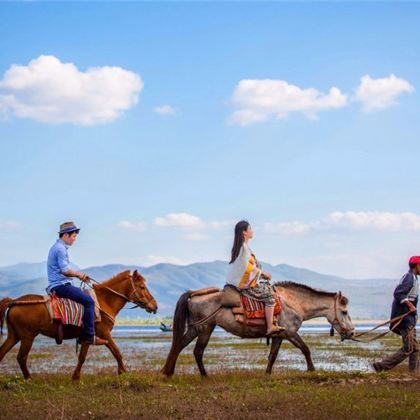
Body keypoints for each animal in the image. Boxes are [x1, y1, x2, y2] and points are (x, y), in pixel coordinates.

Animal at [0, 270, 158, 380]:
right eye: (142, 287)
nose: (155, 306)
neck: (104, 301)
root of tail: (14, 301)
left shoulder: (88, 337)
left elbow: (82, 357)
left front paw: (75, 377)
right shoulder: (104, 333)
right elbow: (117, 352)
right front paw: (123, 373)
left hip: (14, 336)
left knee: (3, 352)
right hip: (27, 337)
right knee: (21, 357)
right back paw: (29, 378)